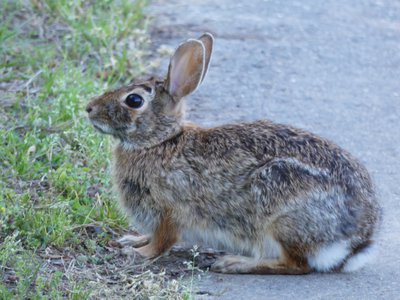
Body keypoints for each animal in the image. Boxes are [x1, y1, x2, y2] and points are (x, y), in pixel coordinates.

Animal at [86, 32, 382, 274]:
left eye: (134, 100)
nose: (89, 108)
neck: (161, 141)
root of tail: (355, 242)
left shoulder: (169, 211)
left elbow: (162, 241)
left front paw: (137, 253)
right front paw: (132, 240)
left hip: (281, 213)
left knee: (297, 265)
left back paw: (235, 263)